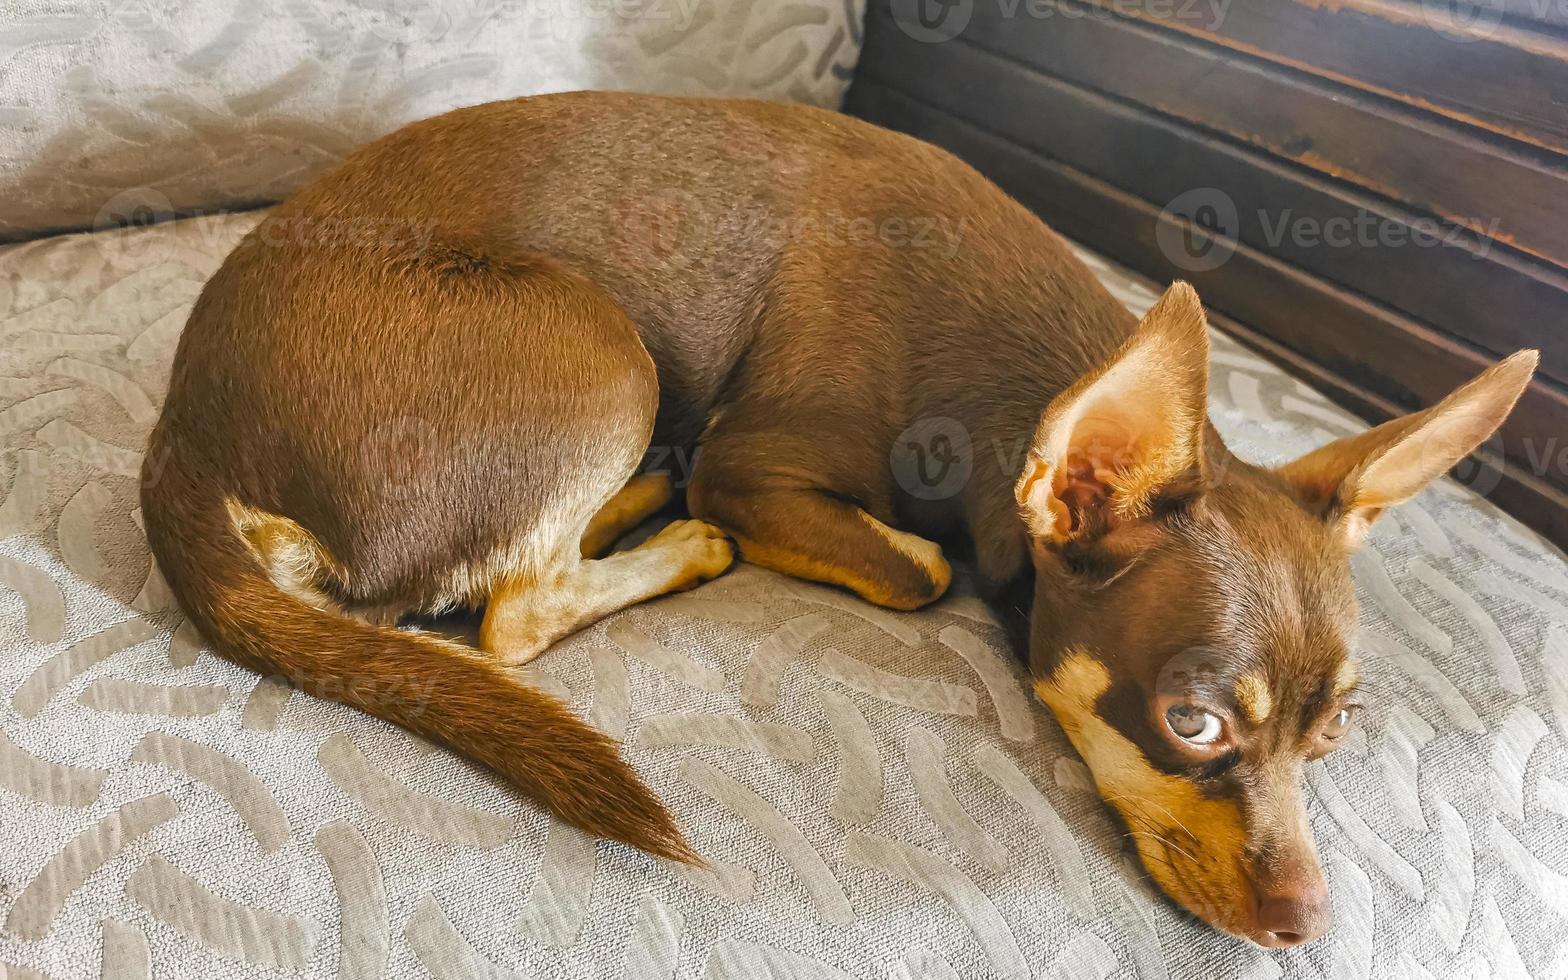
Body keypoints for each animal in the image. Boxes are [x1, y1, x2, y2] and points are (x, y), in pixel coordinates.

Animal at [141, 91, 1536, 947]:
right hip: (598, 345)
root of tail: (183, 431)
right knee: (509, 610)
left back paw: (639, 496)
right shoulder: (764, 468)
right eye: (1191, 721)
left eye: (1335, 732)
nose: (1306, 926)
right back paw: (672, 530)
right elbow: (922, 566)